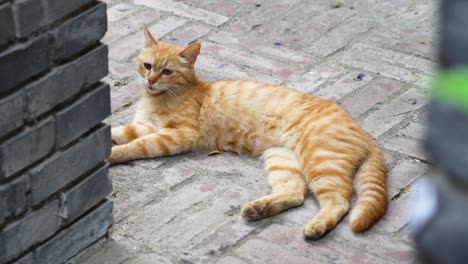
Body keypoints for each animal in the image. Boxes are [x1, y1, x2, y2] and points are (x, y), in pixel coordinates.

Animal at [109, 26, 388, 239]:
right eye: (147, 65)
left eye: (167, 71)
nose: (150, 81)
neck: (159, 99)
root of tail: (365, 132)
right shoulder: (145, 126)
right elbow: (119, 132)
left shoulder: (177, 134)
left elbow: (138, 145)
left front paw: (114, 154)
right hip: (282, 159)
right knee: (296, 195)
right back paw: (259, 209)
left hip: (321, 161)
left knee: (339, 201)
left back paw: (316, 226)